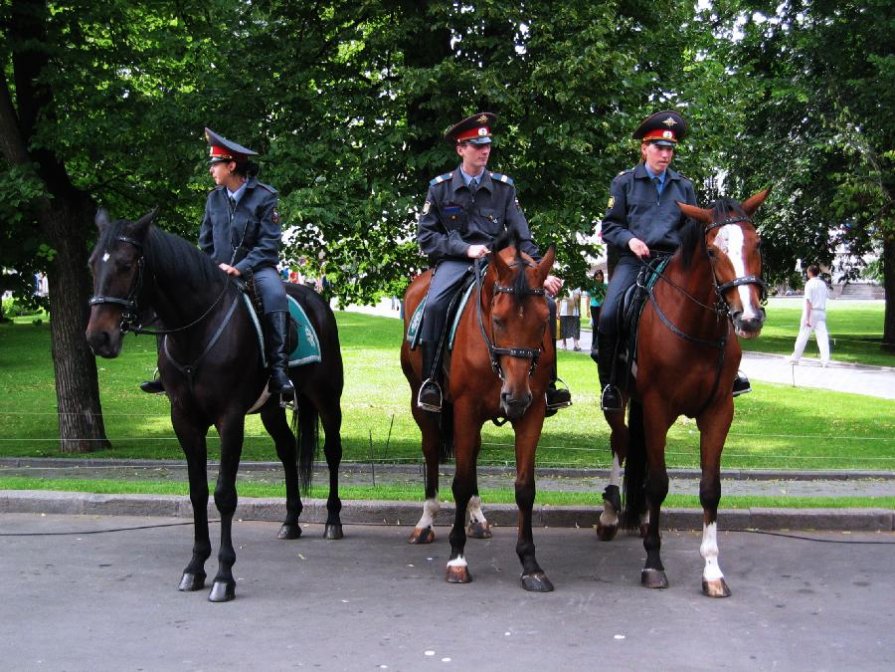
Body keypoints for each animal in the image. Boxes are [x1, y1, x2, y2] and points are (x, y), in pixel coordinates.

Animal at [85, 207, 344, 600]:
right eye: (90, 264)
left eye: (127, 264)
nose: (99, 337)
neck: (196, 331)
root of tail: (314, 298)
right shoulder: (184, 419)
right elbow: (197, 493)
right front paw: (194, 567)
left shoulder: (230, 419)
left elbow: (224, 495)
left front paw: (224, 575)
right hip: (271, 409)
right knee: (287, 450)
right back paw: (291, 520)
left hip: (327, 397)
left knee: (332, 452)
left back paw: (332, 519)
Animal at [402, 234, 556, 592]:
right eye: (498, 320)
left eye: (544, 321)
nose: (515, 396)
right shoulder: (465, 410)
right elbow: (459, 482)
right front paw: (457, 559)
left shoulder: (532, 413)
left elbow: (524, 488)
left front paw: (530, 565)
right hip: (425, 406)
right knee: (432, 451)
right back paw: (426, 521)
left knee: (471, 454)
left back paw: (477, 517)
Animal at [596, 189, 768, 600]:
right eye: (713, 251)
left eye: (756, 243)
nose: (749, 318)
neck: (697, 327)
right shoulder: (658, 408)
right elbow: (659, 484)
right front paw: (653, 564)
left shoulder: (718, 412)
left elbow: (710, 489)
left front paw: (712, 570)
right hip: (620, 400)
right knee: (620, 441)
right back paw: (611, 514)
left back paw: (641, 517)